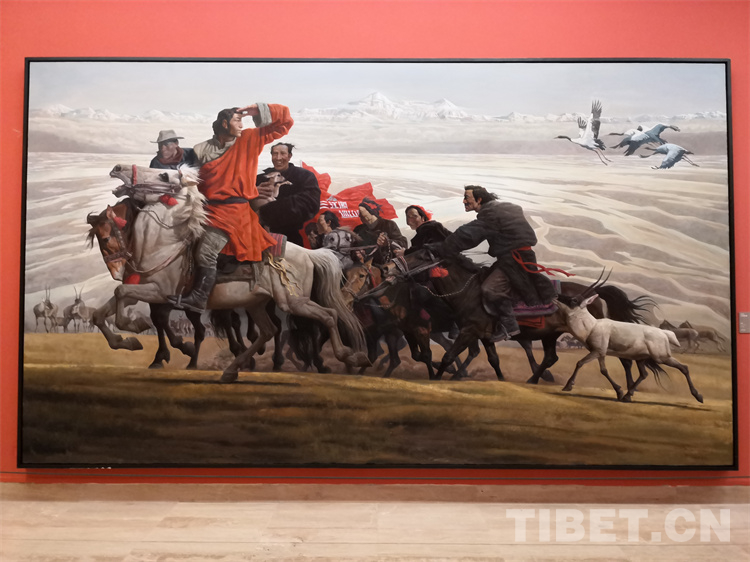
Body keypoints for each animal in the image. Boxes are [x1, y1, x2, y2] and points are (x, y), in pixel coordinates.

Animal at [88, 164, 368, 381]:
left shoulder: (159, 293)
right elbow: (102, 311)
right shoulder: (142, 290)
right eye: (100, 240)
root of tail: (309, 254)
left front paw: (135, 327)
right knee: (270, 330)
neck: (163, 244)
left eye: (164, 176)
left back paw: (351, 356)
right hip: (257, 303)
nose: (118, 168)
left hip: (293, 301)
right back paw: (232, 370)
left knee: (329, 315)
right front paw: (125, 342)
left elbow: (121, 293)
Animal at [554, 295, 703, 404]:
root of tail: (665, 333)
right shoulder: (600, 352)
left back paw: (699, 396)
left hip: (661, 357)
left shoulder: (597, 351)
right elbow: (603, 370)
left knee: (684, 367)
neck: (592, 326)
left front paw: (567, 386)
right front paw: (619, 392)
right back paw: (627, 396)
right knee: (644, 374)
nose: (556, 295)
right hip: (641, 359)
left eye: (574, 299)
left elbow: (580, 363)